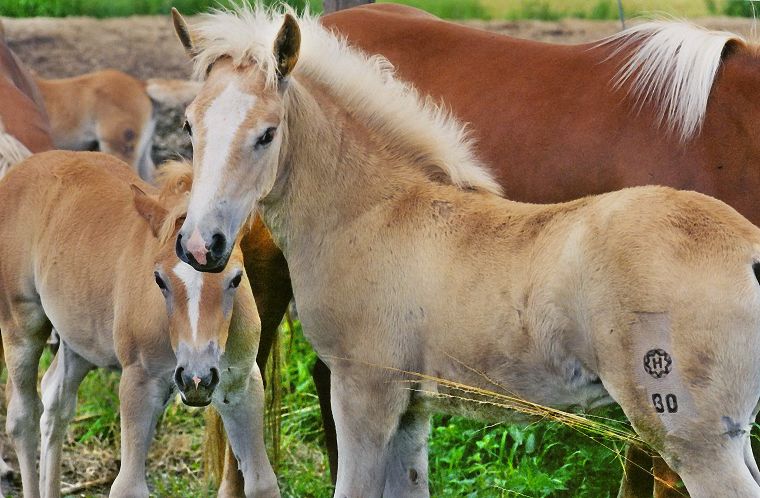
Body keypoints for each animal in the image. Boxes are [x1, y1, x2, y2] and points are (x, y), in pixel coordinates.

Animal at [0, 153, 280, 498]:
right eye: (159, 280)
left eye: (237, 279)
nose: (196, 378)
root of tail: (22, 168)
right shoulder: (139, 383)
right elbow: (128, 485)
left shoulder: (241, 384)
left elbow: (263, 482)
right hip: (20, 323)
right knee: (22, 416)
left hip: (81, 340)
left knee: (56, 398)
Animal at [171, 6, 760, 498]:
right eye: (188, 125)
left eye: (267, 134)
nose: (202, 245)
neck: (375, 211)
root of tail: (749, 248)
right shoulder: (412, 410)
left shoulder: (364, 391)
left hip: (693, 436)